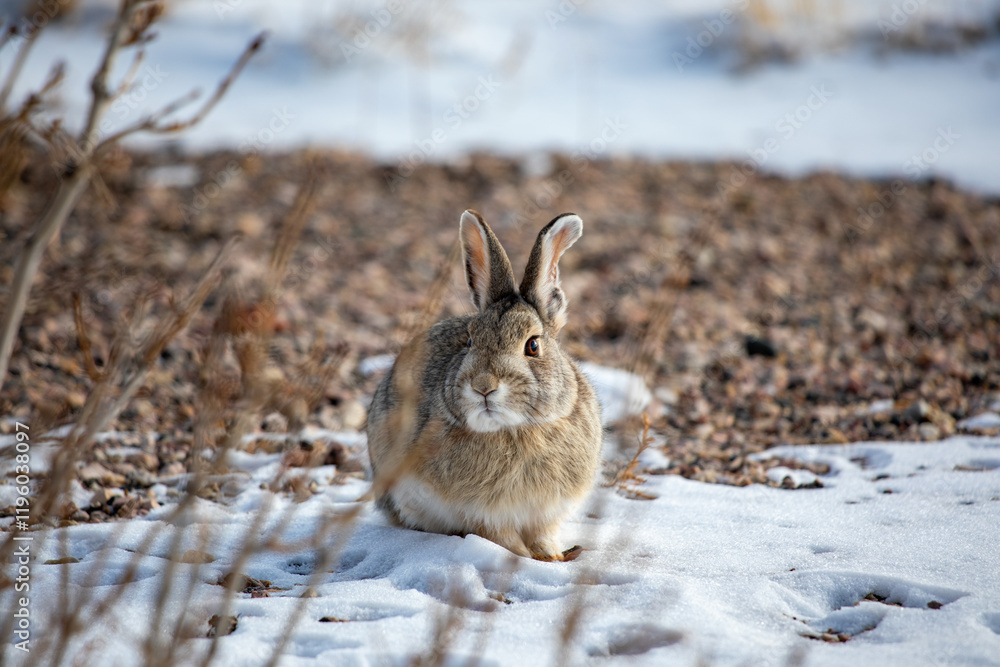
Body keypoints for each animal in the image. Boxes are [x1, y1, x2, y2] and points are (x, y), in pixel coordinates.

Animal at [366, 209, 602, 561]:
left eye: (533, 345)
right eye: (469, 341)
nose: (483, 386)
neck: (517, 430)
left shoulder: (547, 514)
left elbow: (543, 535)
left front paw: (553, 557)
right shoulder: (483, 516)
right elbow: (502, 538)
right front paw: (528, 558)